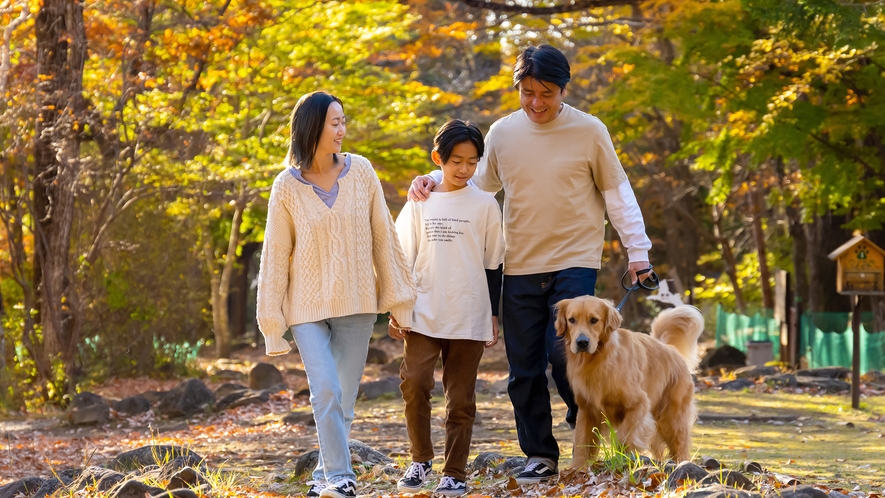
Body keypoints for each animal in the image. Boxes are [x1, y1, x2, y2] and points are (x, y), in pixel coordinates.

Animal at [556, 296, 700, 466]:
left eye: (594, 320)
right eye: (572, 320)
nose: (582, 342)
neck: (598, 359)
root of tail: (671, 348)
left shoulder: (639, 404)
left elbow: (623, 437)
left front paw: (622, 459)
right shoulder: (587, 410)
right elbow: (581, 443)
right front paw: (577, 468)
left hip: (673, 417)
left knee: (680, 446)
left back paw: (682, 464)